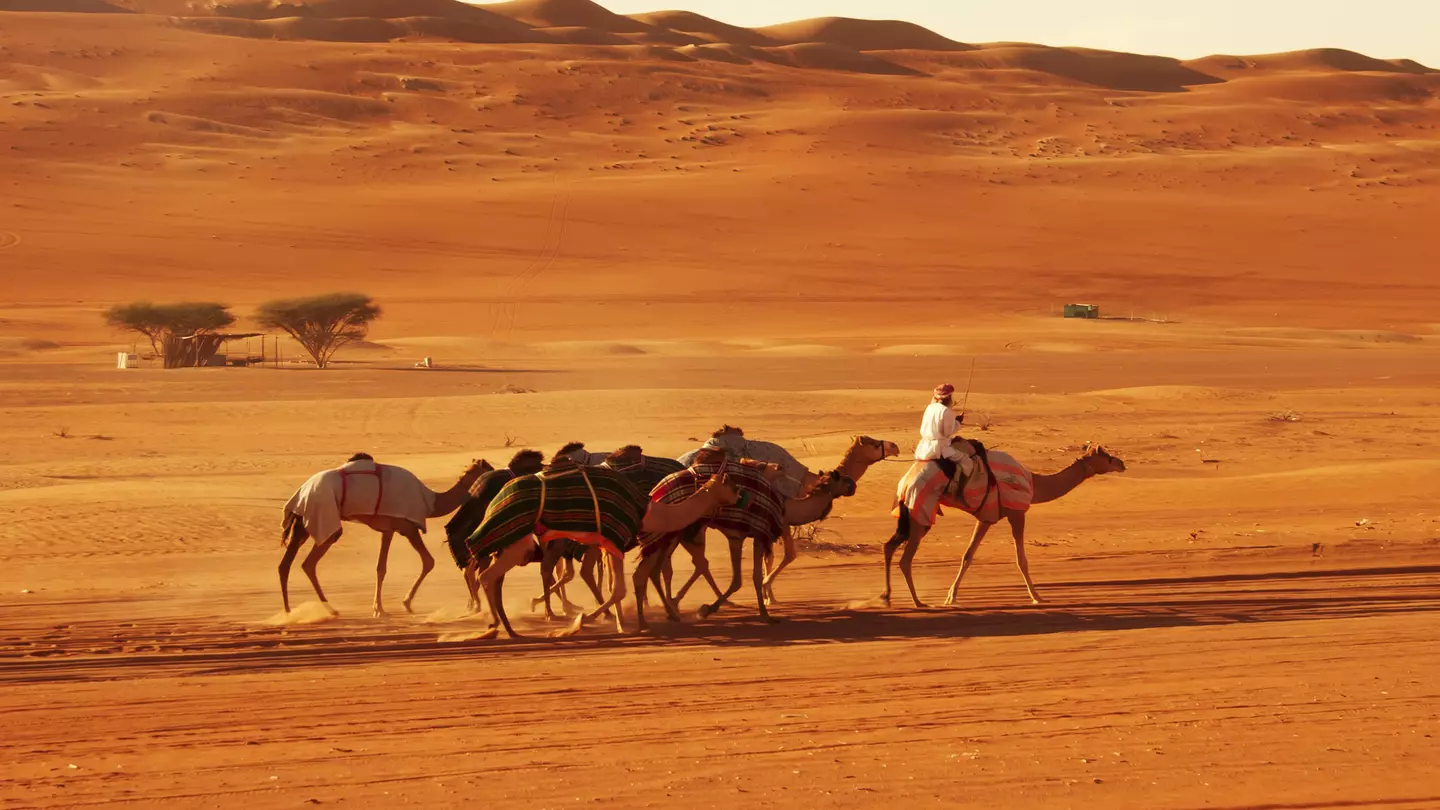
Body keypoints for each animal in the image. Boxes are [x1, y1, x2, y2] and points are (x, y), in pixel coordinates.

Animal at [279, 454, 492, 617]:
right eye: (486, 467)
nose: (496, 471)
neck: (431, 502)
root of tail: (302, 490)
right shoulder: (405, 526)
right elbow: (425, 561)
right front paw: (399, 605)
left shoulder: (388, 529)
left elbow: (381, 567)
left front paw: (380, 607)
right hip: (322, 515)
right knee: (309, 562)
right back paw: (325, 609)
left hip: (303, 521)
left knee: (288, 564)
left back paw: (292, 611)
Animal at [464, 460, 739, 640]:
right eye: (729, 485)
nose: (738, 497)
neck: (646, 511)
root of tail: (496, 500)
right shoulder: (615, 540)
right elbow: (618, 589)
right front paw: (582, 621)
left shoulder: (606, 544)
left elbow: (613, 587)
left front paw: (617, 623)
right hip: (518, 541)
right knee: (487, 576)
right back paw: (496, 627)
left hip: (514, 540)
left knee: (495, 577)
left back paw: (507, 627)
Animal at [881, 443, 1127, 608]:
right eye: (1106, 456)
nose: (1122, 463)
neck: (1034, 483)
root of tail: (903, 484)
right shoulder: (1017, 513)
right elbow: (1021, 560)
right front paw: (1037, 597)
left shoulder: (986, 518)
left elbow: (967, 555)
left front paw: (951, 597)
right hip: (920, 512)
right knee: (905, 559)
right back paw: (917, 602)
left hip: (909, 516)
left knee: (889, 547)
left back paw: (888, 597)